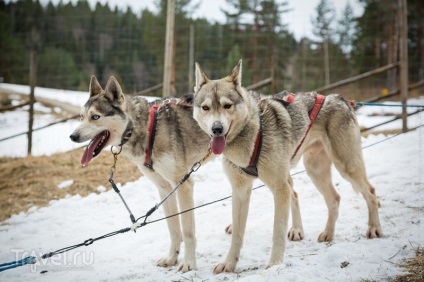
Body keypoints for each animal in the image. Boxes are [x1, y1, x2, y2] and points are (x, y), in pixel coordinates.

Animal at [71, 75, 214, 270]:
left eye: (95, 117)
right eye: (81, 117)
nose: (72, 136)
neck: (147, 129)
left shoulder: (183, 184)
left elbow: (187, 230)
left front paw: (189, 263)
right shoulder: (164, 188)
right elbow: (173, 229)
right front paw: (171, 258)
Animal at [192, 60, 380, 274]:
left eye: (227, 105)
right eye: (206, 107)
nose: (217, 129)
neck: (254, 134)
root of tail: (340, 98)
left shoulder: (279, 188)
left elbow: (278, 231)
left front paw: (274, 264)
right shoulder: (240, 190)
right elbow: (237, 236)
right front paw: (229, 264)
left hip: (346, 166)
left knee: (371, 192)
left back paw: (374, 228)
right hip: (314, 170)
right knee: (334, 198)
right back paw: (328, 233)